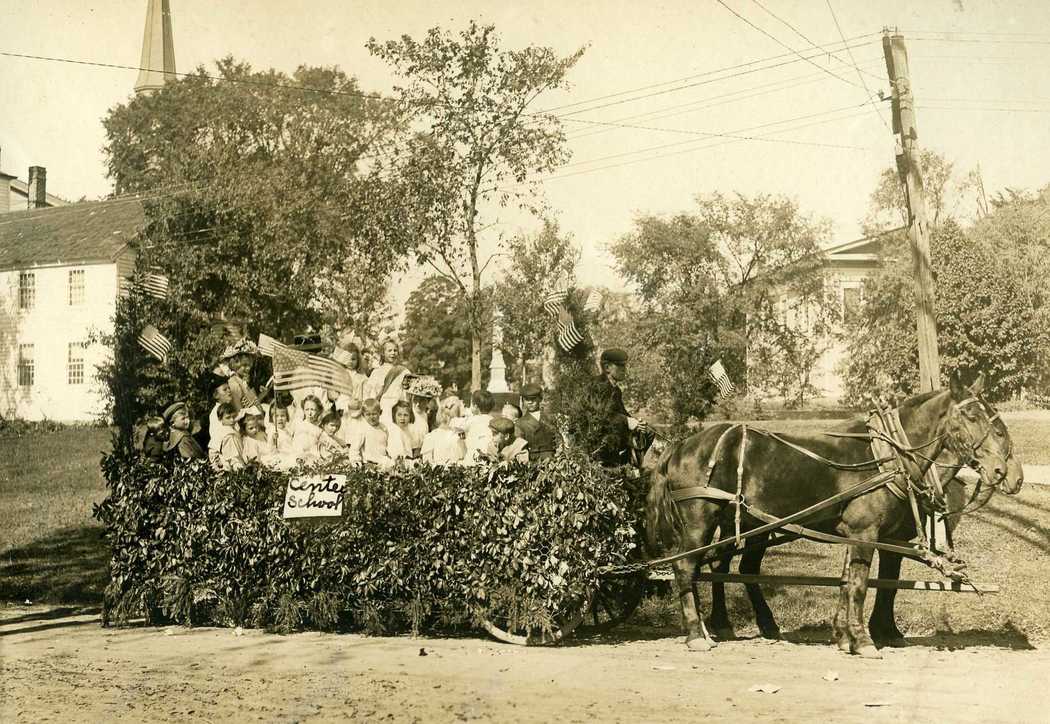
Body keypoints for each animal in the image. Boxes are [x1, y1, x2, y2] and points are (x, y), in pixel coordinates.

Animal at [642, 371, 1020, 654]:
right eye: (972, 416)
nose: (1006, 473)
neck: (889, 456)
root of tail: (681, 445)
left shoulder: (861, 534)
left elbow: (850, 582)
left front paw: (845, 636)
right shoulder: (867, 534)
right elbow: (862, 585)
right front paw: (864, 640)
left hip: (744, 523)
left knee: (723, 569)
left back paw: (728, 626)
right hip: (700, 521)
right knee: (685, 567)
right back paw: (696, 634)